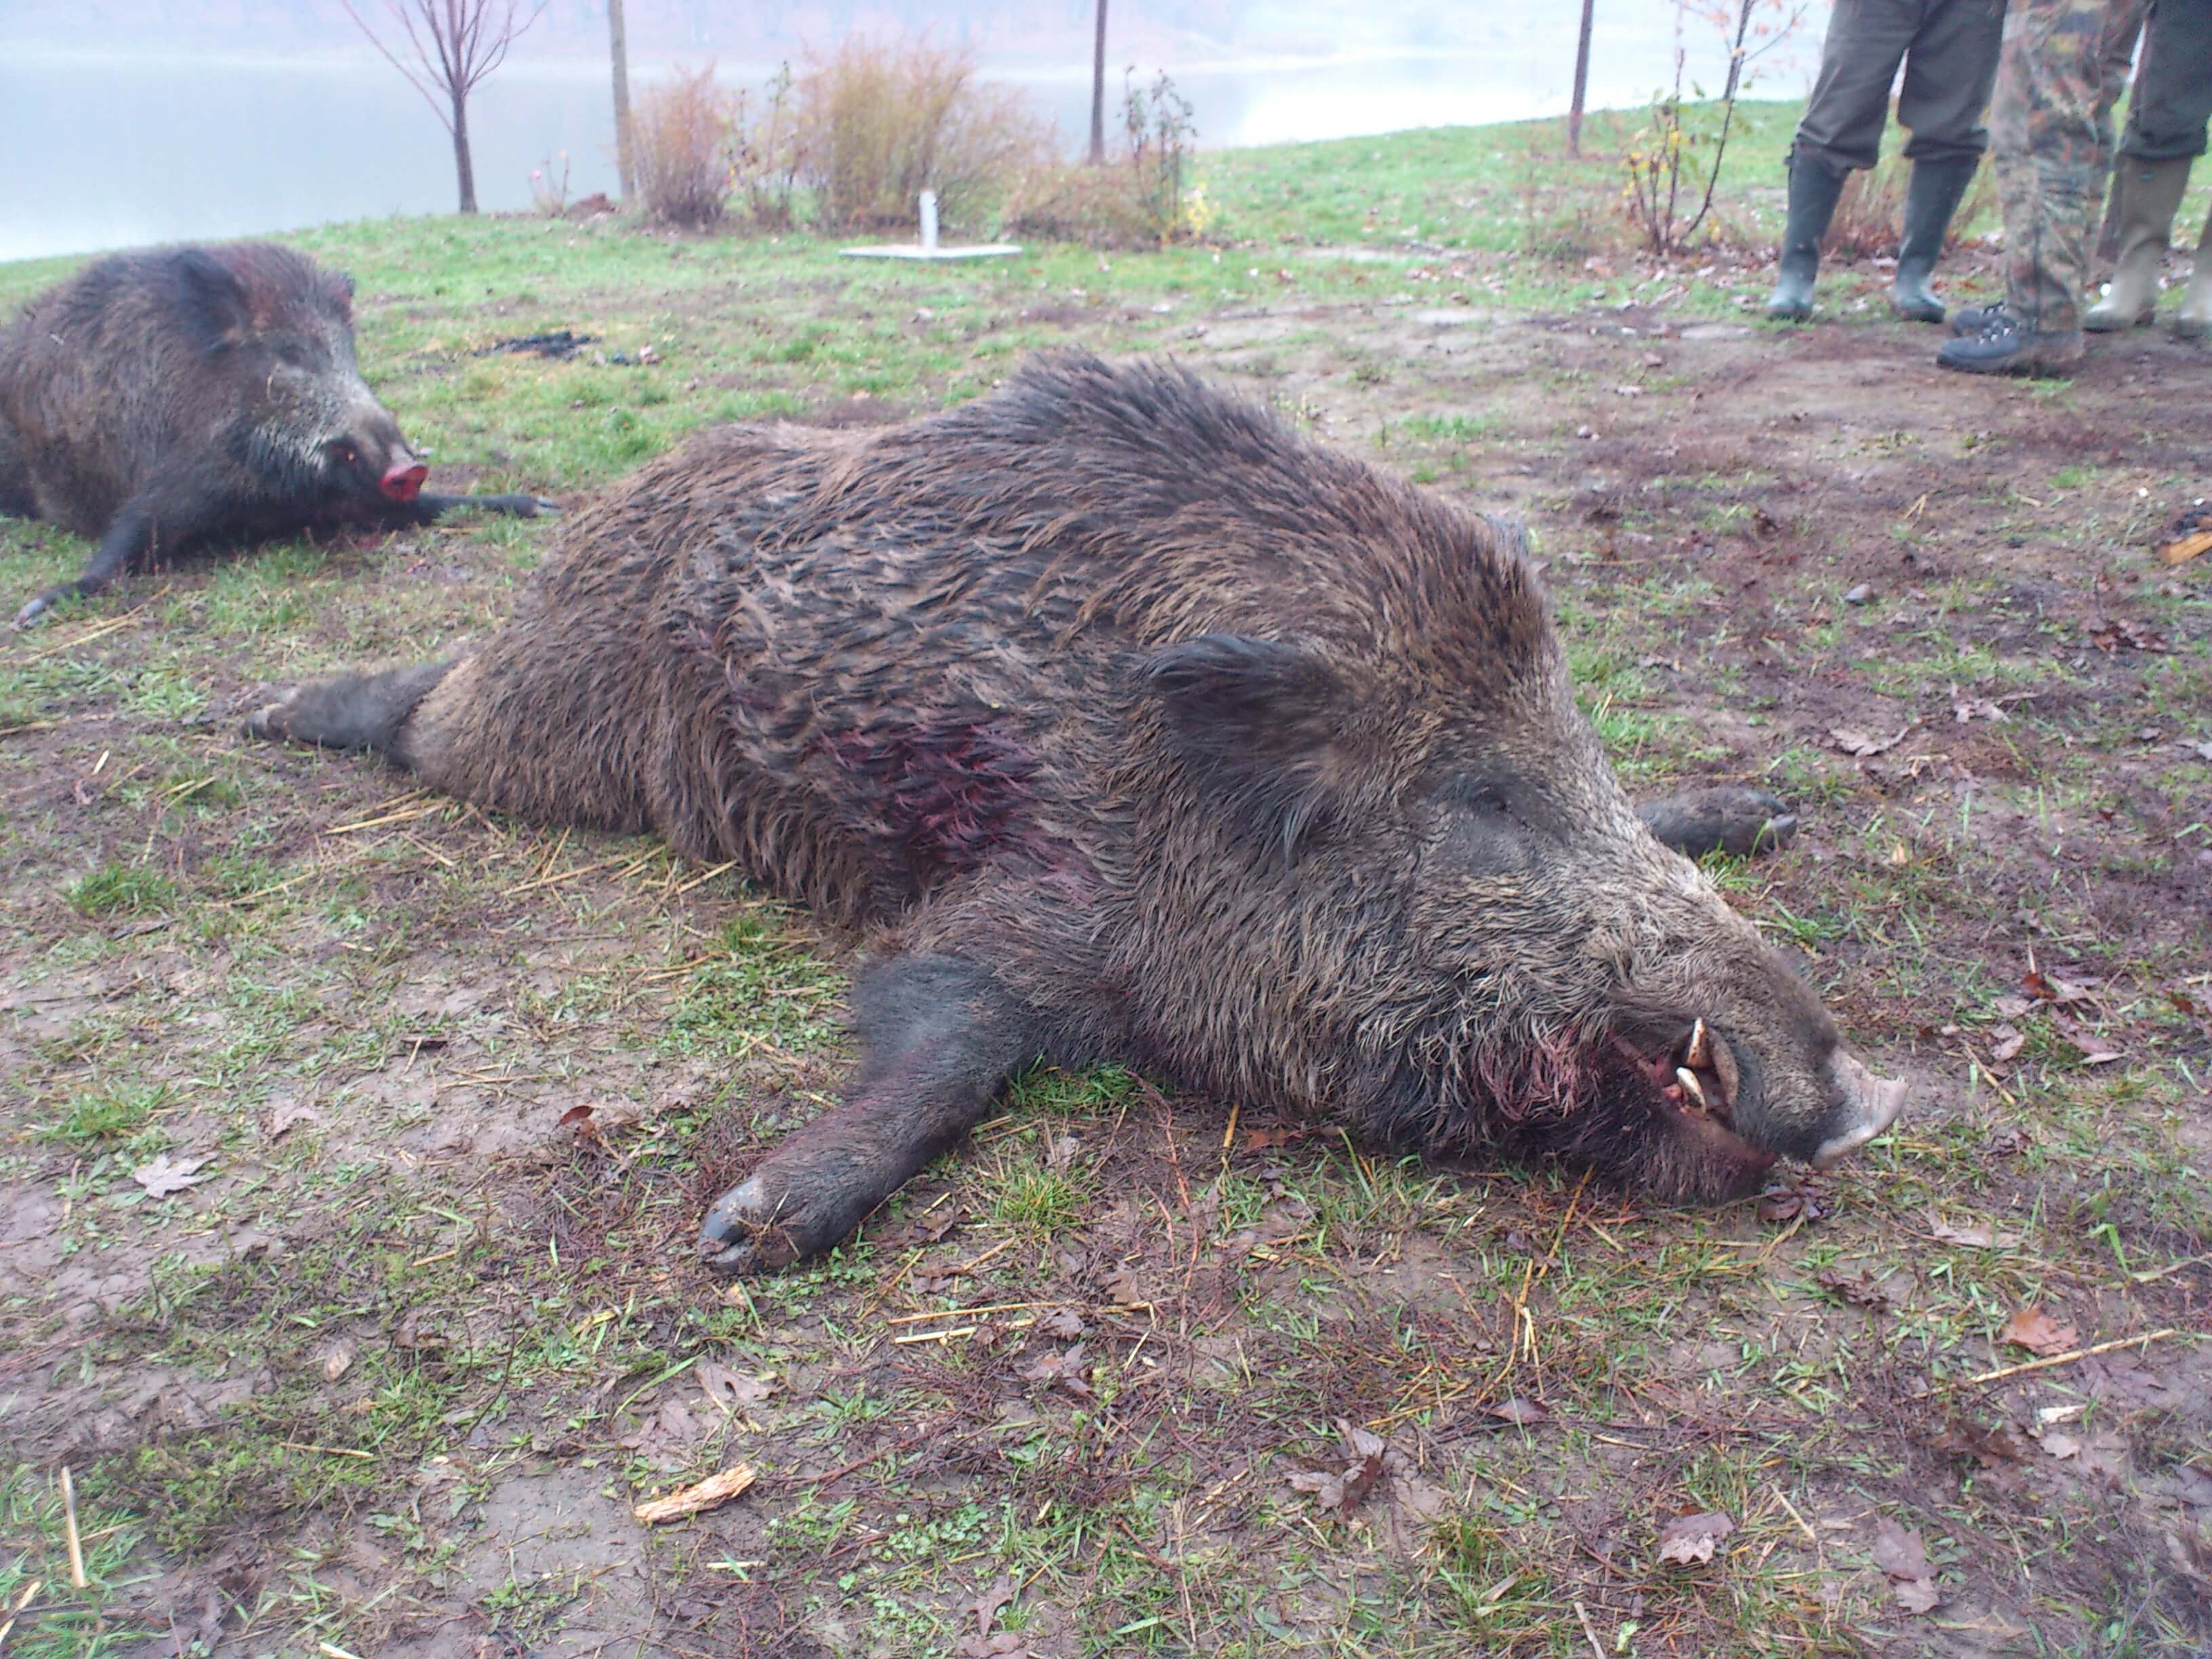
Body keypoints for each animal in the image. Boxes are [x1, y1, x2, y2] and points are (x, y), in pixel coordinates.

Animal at [0, 242, 554, 628]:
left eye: (348, 353)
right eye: (290, 354)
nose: (409, 466)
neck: (263, 500)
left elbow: (436, 504)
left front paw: (542, 506)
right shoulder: (169, 486)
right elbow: (118, 549)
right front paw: (33, 611)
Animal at [246, 352, 1906, 1274]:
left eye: (1583, 768)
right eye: (1480, 802)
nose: (1852, 1098)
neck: (1169, 803)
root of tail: (631, 489)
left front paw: (1758, 809)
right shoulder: (1016, 908)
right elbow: (952, 1040)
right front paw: (740, 1238)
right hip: (546, 727)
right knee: (426, 714)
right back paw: (265, 711)